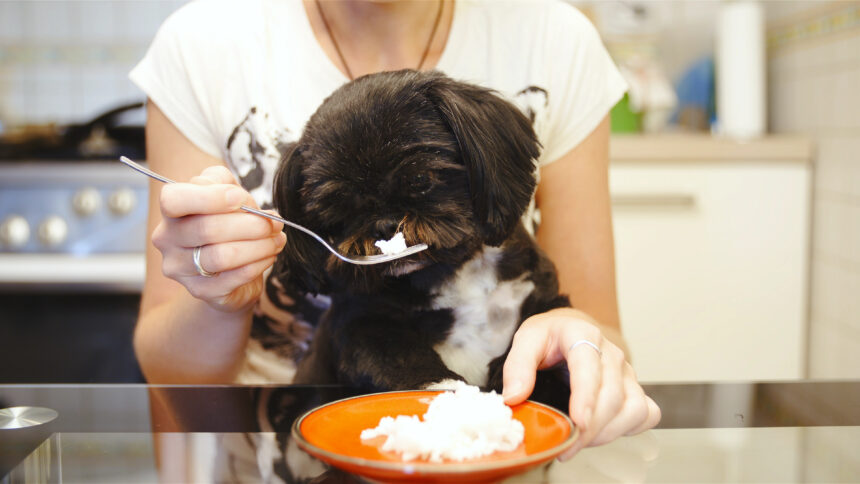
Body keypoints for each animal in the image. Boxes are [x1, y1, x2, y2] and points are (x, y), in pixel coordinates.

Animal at [274, 69, 572, 400]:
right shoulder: (360, 324)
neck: (451, 273)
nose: (384, 225)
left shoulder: (540, 296)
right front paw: (450, 390)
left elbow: (542, 354)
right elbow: (403, 358)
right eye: (340, 208)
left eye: (419, 179)